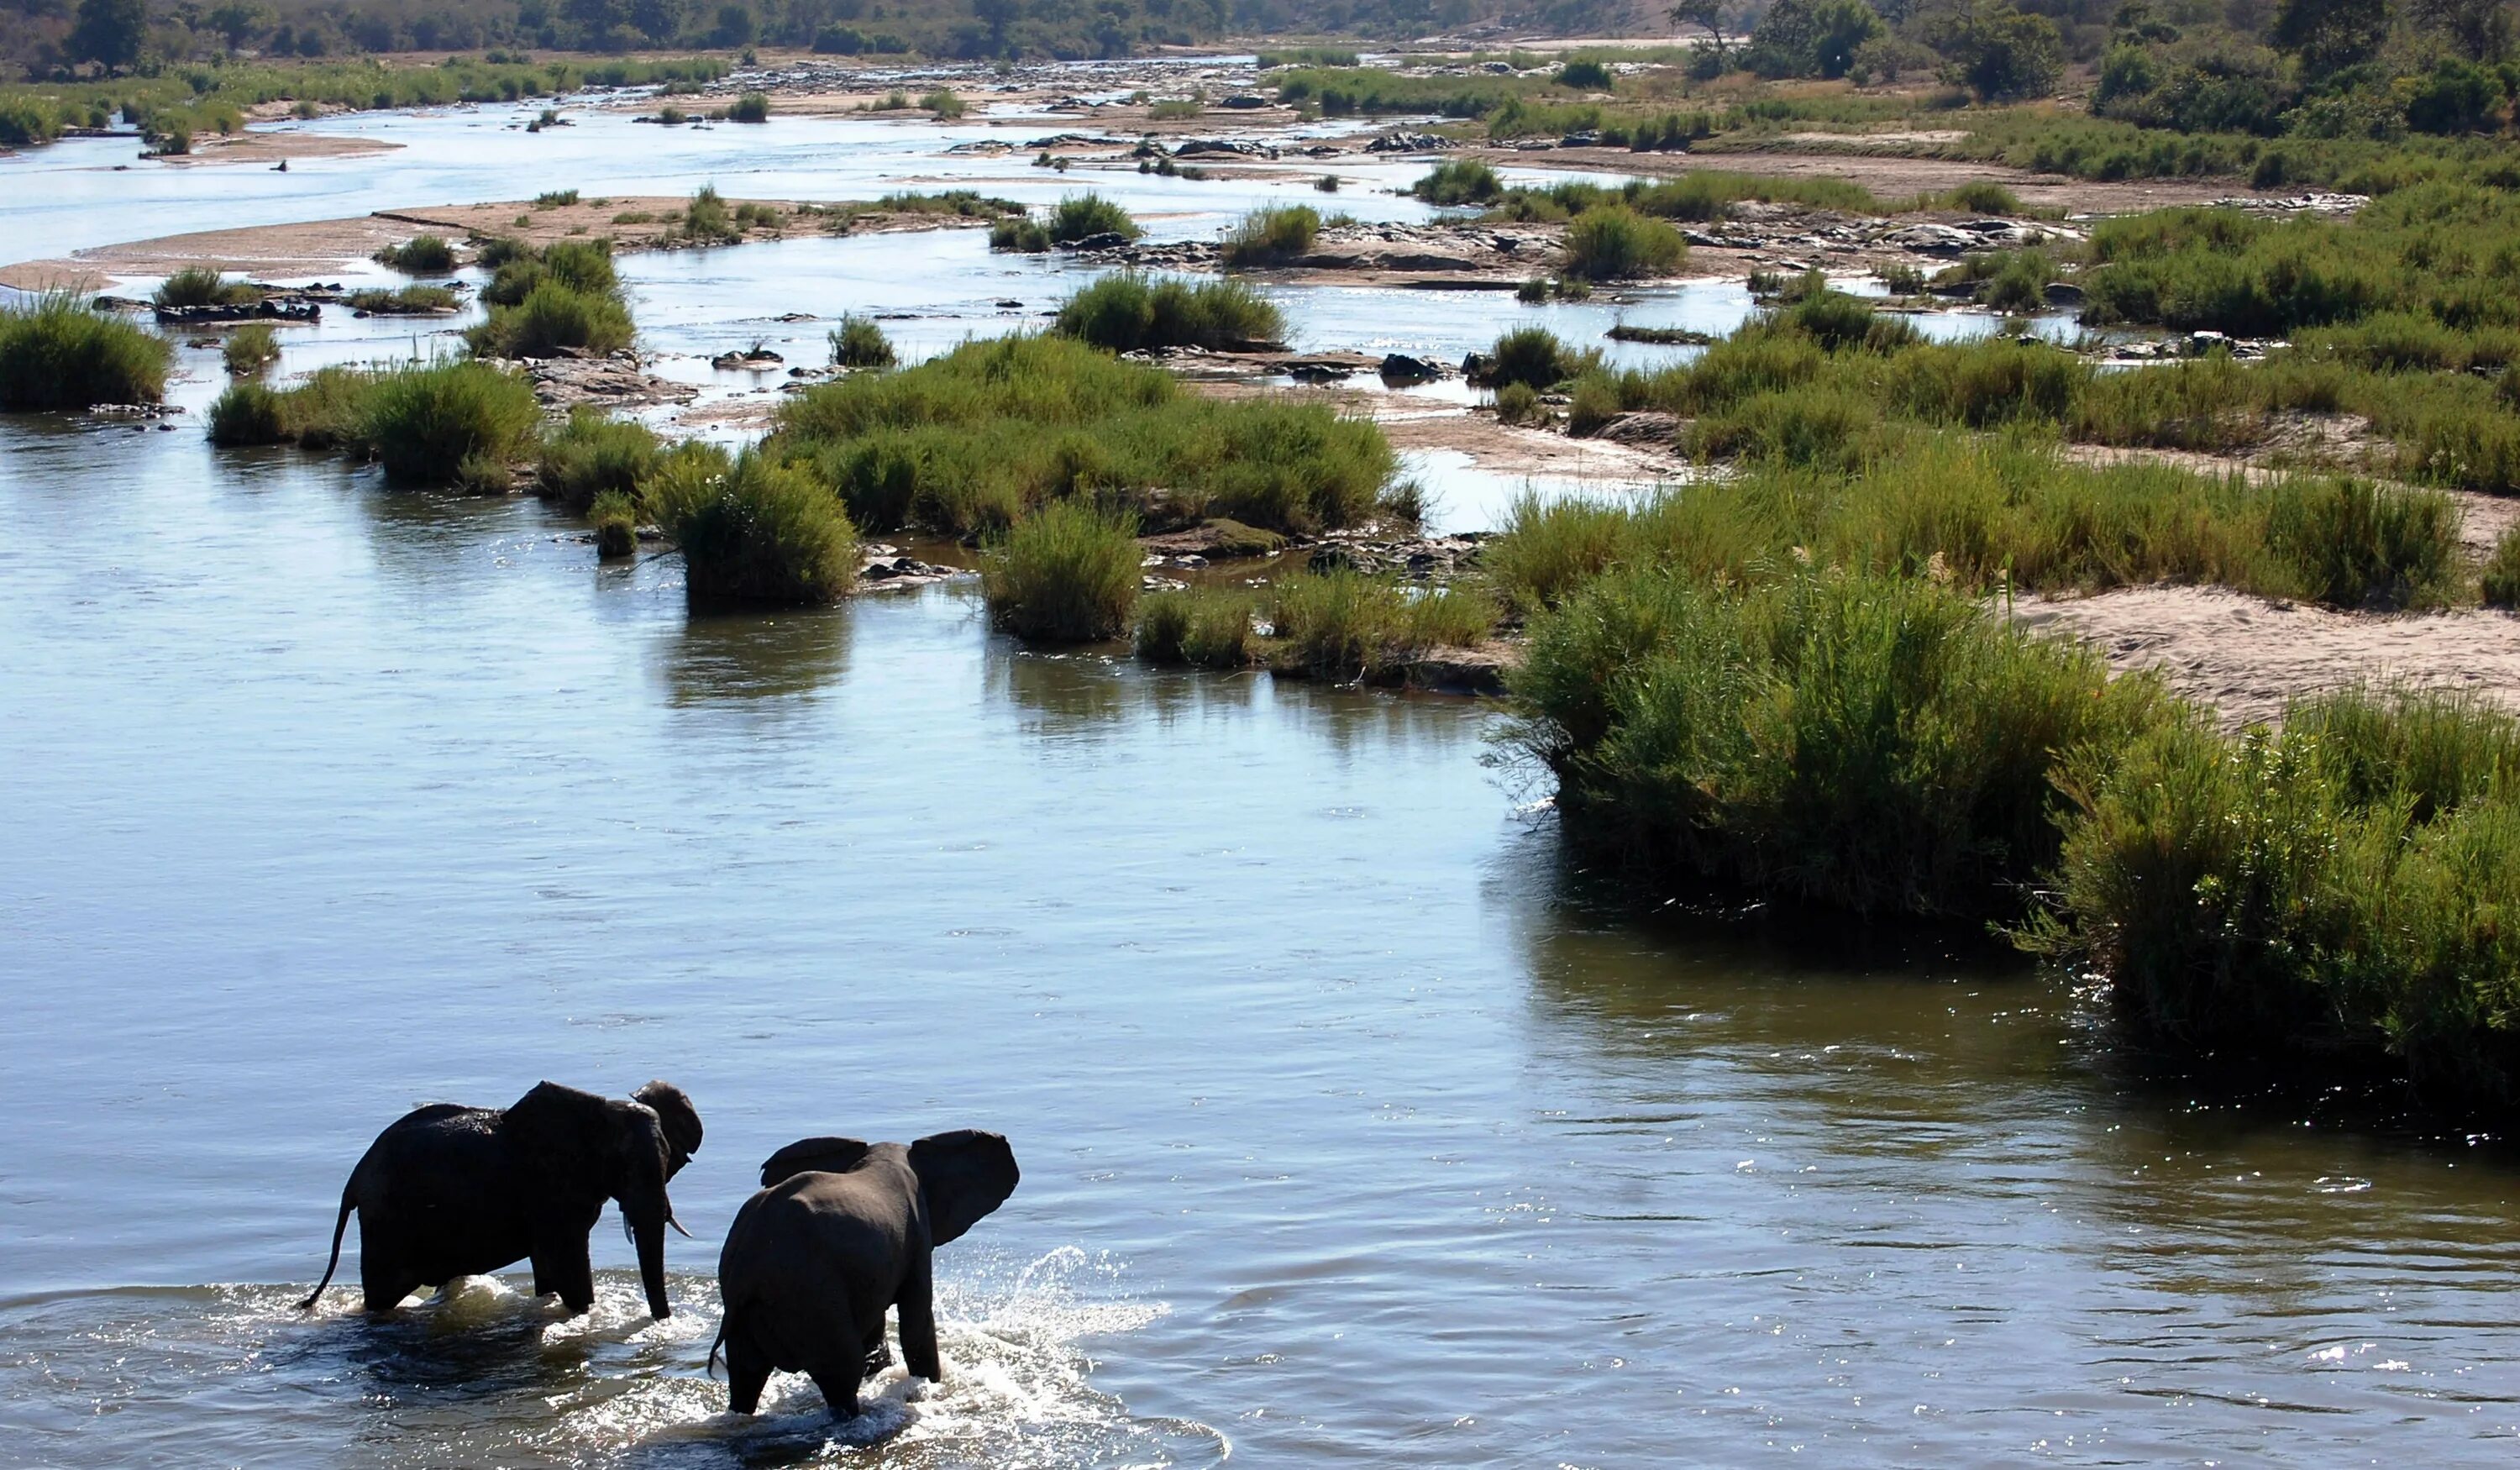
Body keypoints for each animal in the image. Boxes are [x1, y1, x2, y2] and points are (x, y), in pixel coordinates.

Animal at [300, 1079, 706, 1320]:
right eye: (624, 1168)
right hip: (386, 1223)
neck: (600, 1111)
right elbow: (569, 1269)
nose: (663, 1321)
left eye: (667, 1162)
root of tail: (352, 1182)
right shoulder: (547, 1190)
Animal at [706, 1134, 1018, 1421]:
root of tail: (747, 1263)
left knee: (746, 1375)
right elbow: (916, 1324)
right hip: (809, 1293)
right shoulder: (916, 1233)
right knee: (842, 1371)